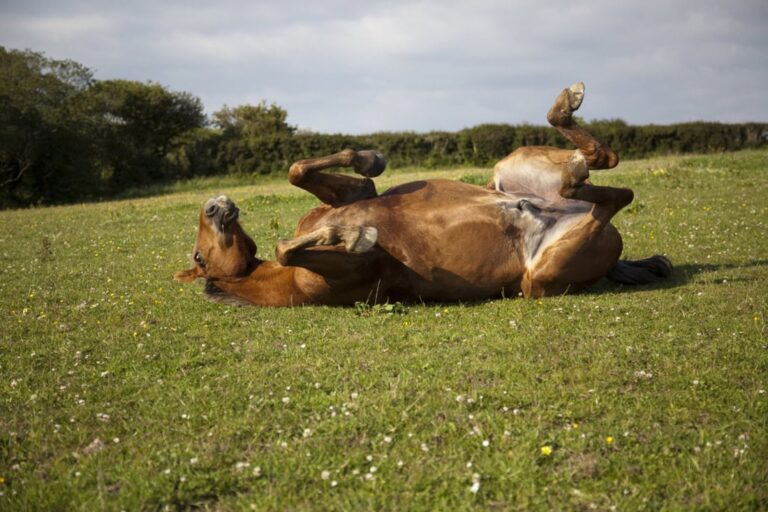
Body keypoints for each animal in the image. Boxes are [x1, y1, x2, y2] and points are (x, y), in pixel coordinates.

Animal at [175, 83, 671, 306]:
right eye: (199, 257)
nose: (215, 204)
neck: (286, 283)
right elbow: (288, 246)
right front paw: (352, 236)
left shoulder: (353, 195)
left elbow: (300, 171)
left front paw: (369, 156)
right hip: (542, 276)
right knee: (613, 194)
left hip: (507, 168)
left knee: (605, 166)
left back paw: (566, 112)